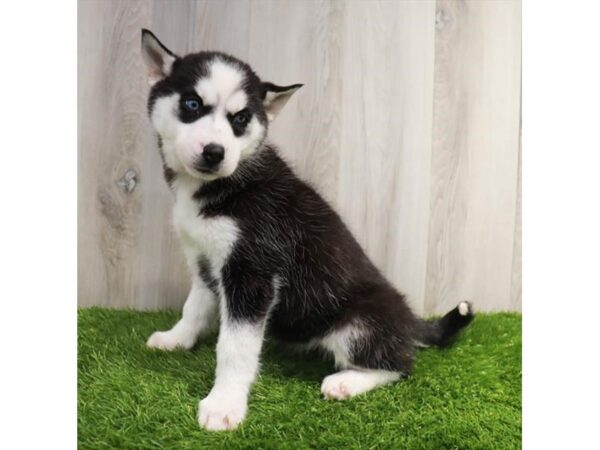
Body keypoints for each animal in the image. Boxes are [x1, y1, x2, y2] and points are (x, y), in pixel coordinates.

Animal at [141, 29, 474, 430]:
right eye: (191, 104)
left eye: (241, 119)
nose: (215, 152)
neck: (217, 186)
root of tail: (410, 320)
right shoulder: (205, 262)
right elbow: (195, 306)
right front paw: (177, 339)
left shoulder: (253, 273)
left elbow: (234, 347)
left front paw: (224, 404)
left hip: (357, 325)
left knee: (400, 366)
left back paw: (346, 382)